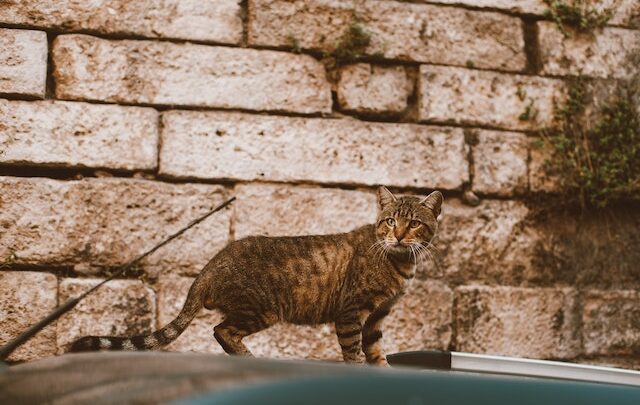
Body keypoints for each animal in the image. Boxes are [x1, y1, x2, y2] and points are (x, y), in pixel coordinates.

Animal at [69, 186, 440, 366]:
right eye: (390, 221)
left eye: (414, 223)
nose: (399, 235)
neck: (399, 263)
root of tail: (208, 267)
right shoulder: (351, 313)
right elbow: (354, 353)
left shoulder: (376, 317)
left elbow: (377, 354)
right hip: (261, 309)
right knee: (221, 330)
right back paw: (249, 357)